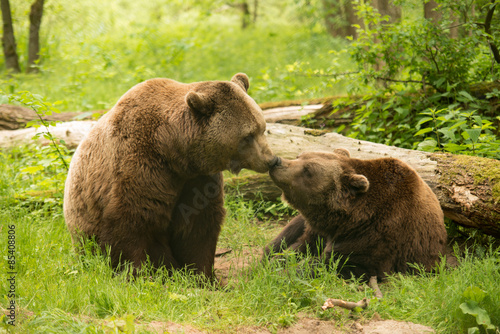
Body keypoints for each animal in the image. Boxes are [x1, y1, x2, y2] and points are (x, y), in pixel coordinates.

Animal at [64, 73, 280, 280]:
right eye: (247, 136)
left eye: (262, 128)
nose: (271, 160)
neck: (172, 150)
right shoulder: (139, 164)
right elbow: (132, 220)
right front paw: (138, 273)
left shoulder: (198, 178)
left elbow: (199, 224)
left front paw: (202, 275)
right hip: (84, 231)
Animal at [264, 149, 448, 280]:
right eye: (299, 156)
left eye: (308, 170)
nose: (277, 161)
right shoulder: (318, 229)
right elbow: (295, 248)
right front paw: (268, 266)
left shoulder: (378, 234)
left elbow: (337, 262)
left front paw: (281, 274)